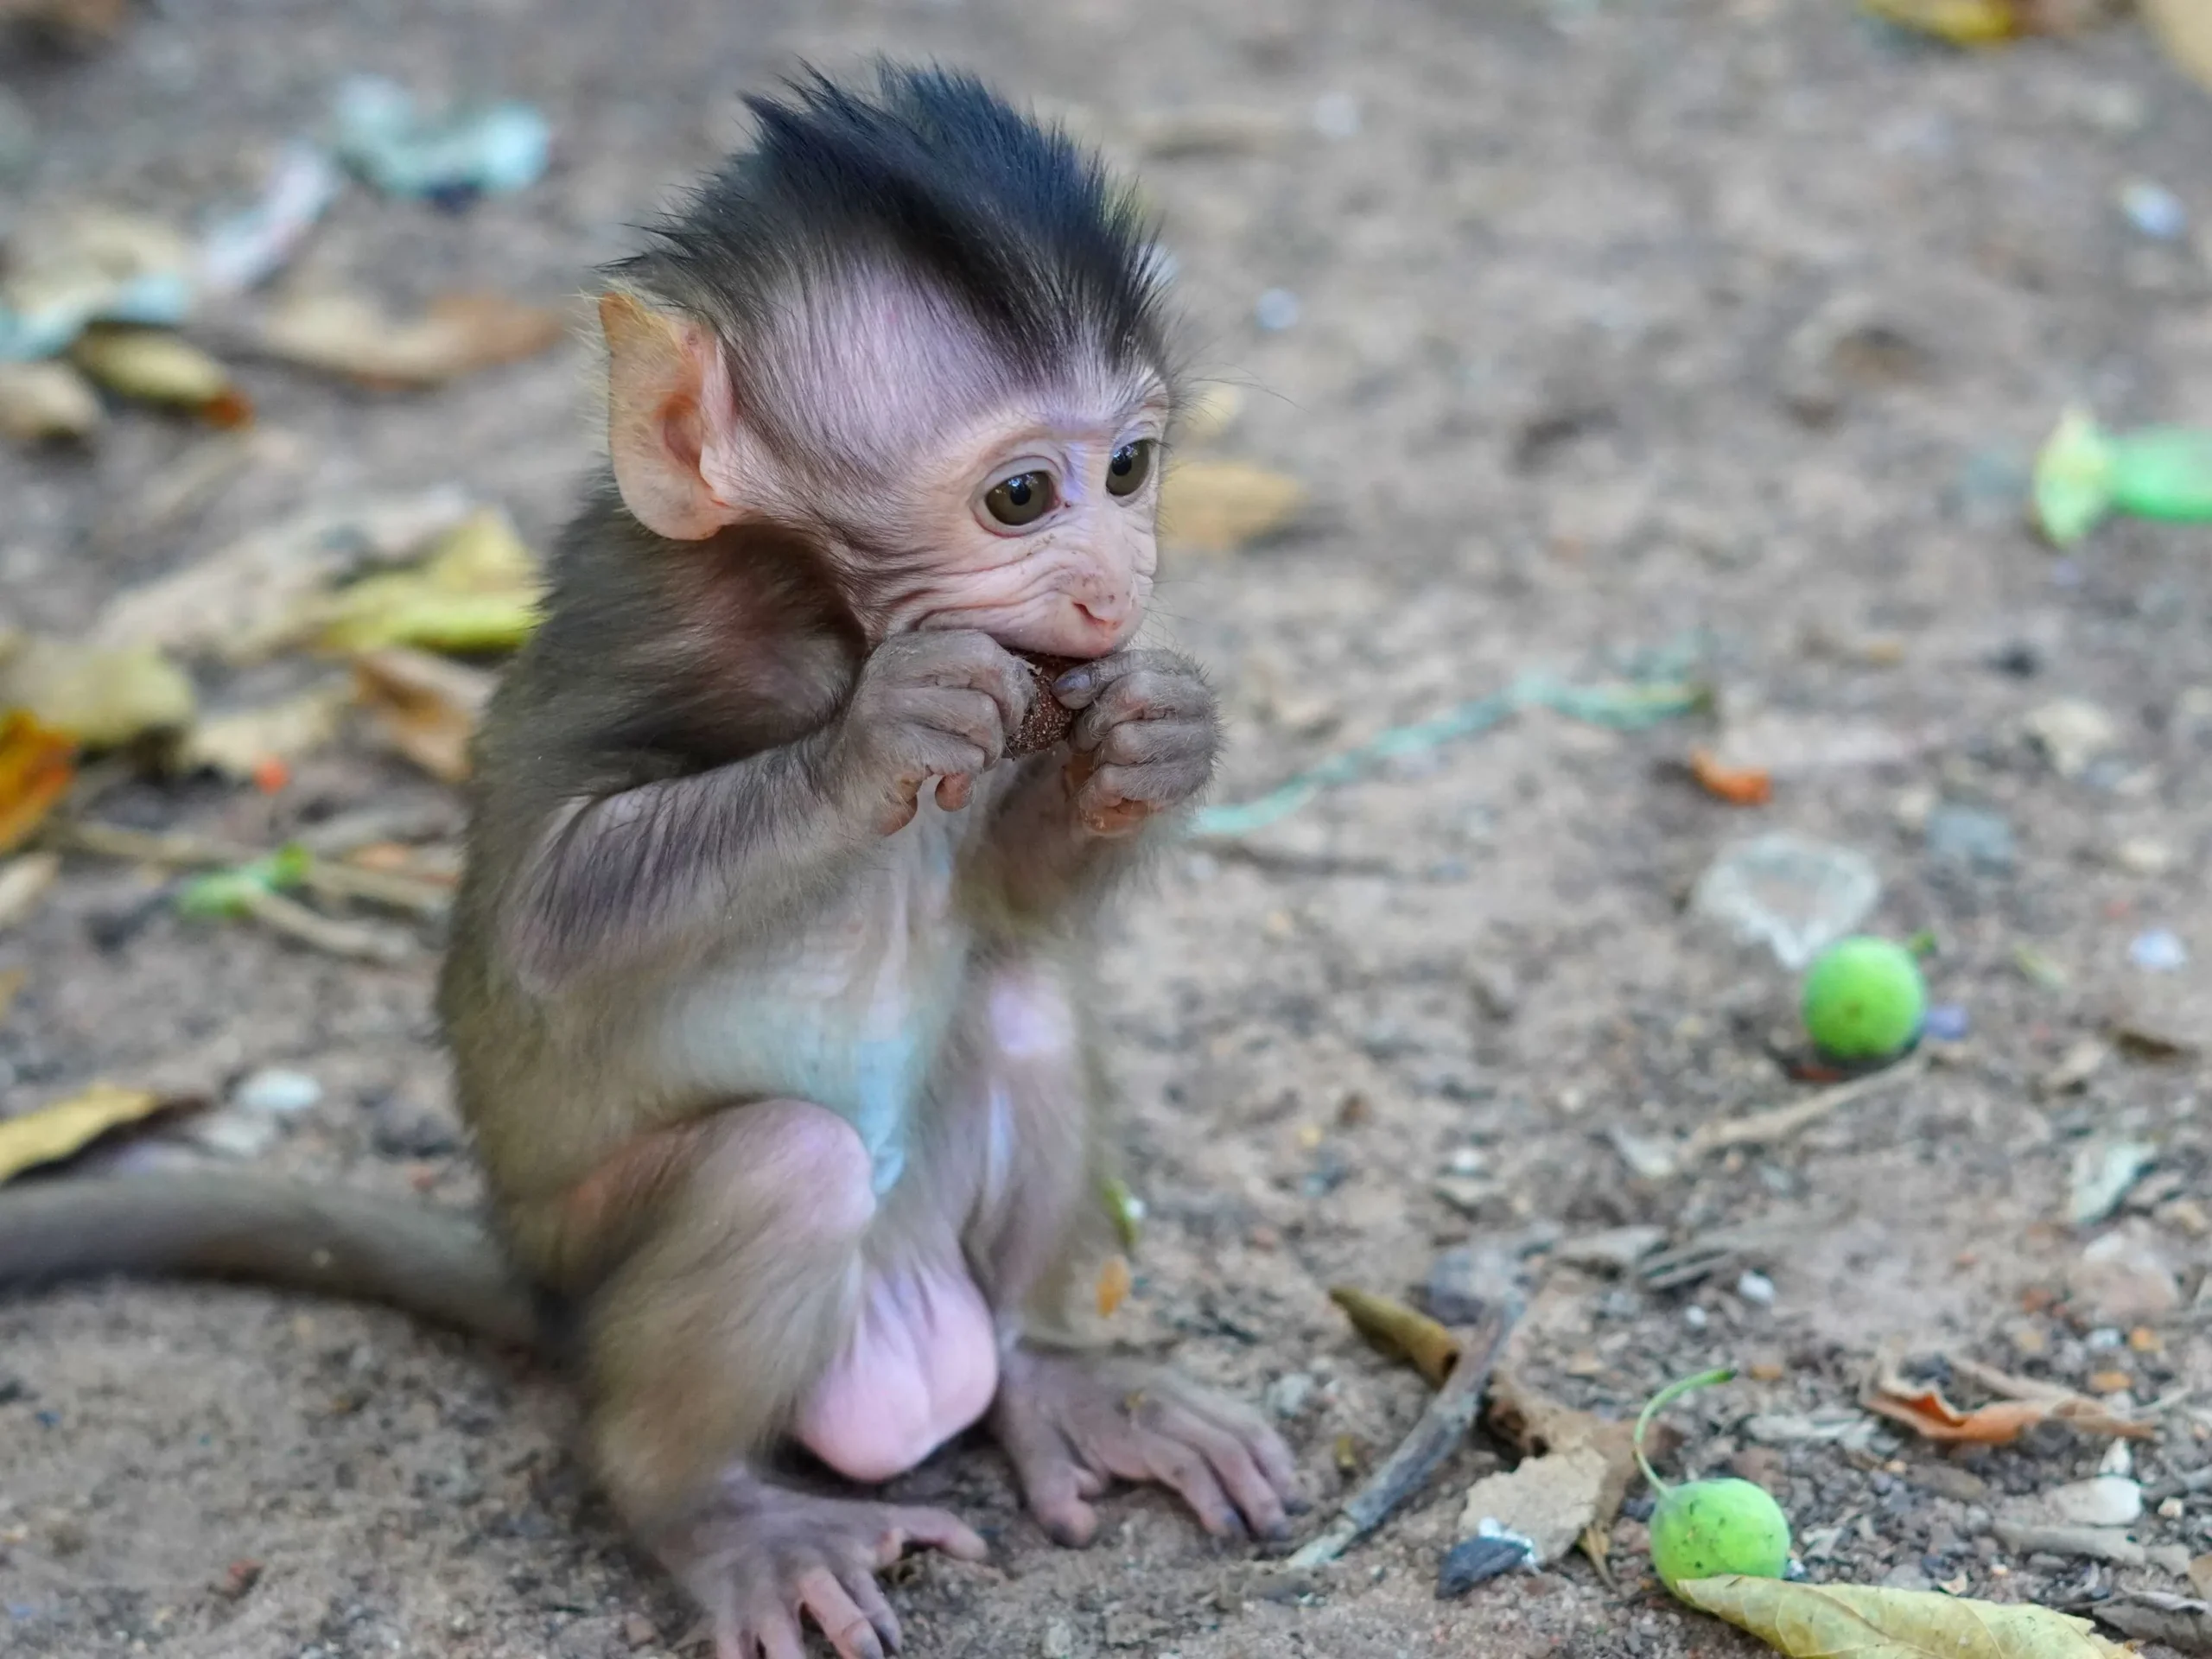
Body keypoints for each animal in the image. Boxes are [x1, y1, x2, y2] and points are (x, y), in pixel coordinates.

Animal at [0, 65, 1303, 1659]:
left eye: (1129, 468)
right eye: (1019, 498)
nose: (1118, 586)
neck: (826, 609)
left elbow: (1009, 899)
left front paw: (1159, 735)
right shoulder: (654, 624)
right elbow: (550, 921)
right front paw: (878, 740)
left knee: (1021, 1007)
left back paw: (1056, 1374)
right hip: (602, 1266)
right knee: (776, 1169)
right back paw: (712, 1513)